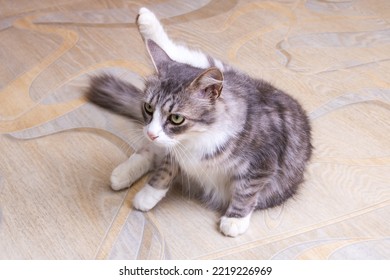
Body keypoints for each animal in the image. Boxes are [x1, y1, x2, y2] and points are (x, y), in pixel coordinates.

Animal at [87, 7, 312, 236]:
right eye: (148, 108)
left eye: (176, 118)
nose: (150, 133)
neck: (196, 138)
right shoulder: (172, 148)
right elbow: (165, 169)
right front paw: (149, 193)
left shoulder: (263, 162)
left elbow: (246, 190)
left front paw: (234, 220)